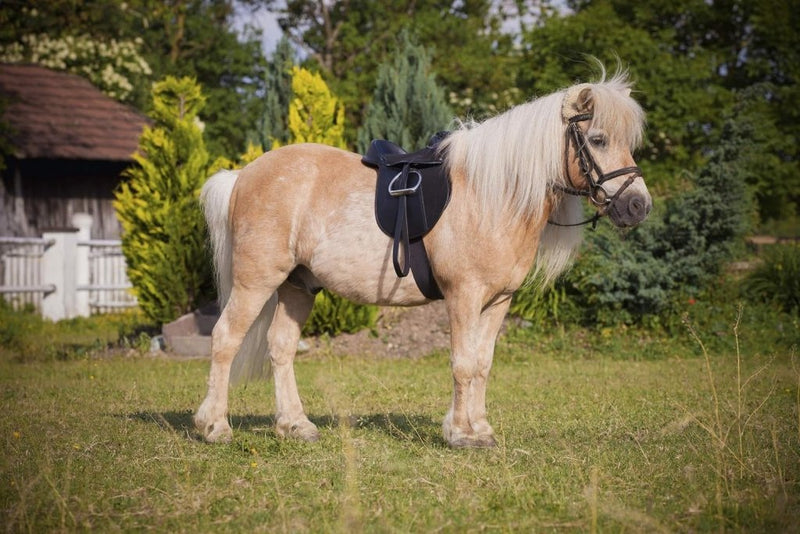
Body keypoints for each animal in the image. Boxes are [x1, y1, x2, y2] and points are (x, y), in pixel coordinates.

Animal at [194, 70, 651, 448]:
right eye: (598, 139)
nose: (638, 206)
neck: (491, 195)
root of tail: (242, 175)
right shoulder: (464, 296)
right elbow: (463, 364)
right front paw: (462, 434)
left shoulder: (498, 301)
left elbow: (482, 364)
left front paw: (480, 429)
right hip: (257, 281)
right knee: (225, 339)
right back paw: (215, 426)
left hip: (298, 285)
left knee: (281, 347)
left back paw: (295, 425)